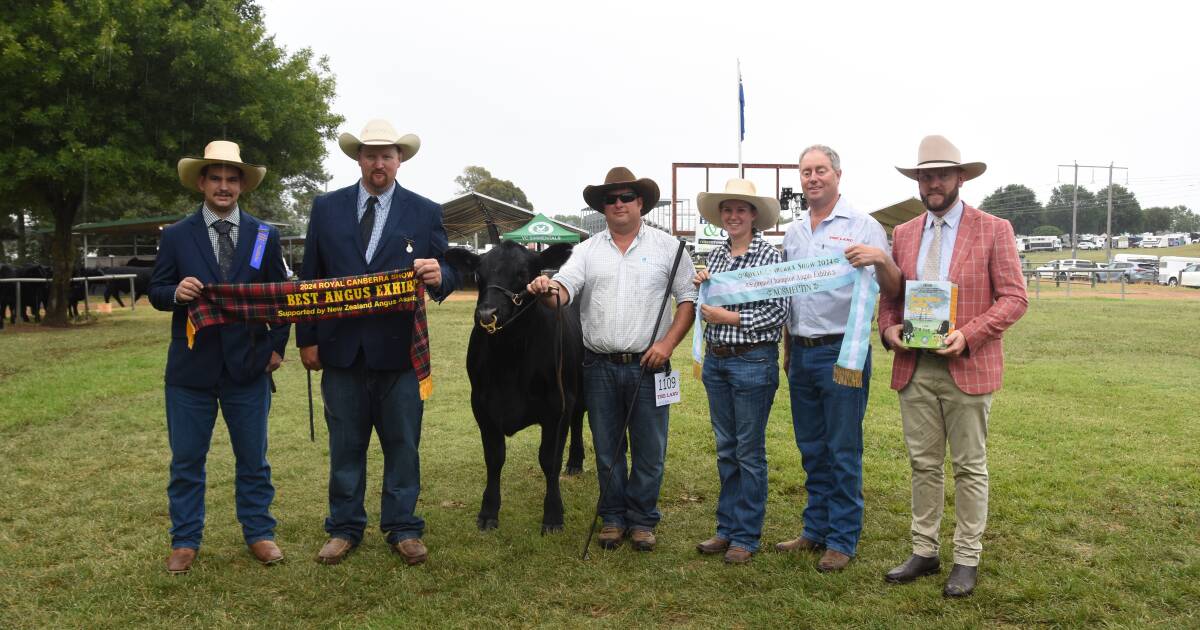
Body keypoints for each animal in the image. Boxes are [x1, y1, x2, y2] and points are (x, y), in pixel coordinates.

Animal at [446, 238, 585, 532]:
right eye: (479, 275)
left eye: (523, 274)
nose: (487, 313)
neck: (510, 357)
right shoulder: (482, 406)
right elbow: (494, 458)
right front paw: (488, 511)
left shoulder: (558, 405)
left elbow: (549, 460)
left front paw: (553, 514)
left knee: (579, 418)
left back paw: (575, 461)